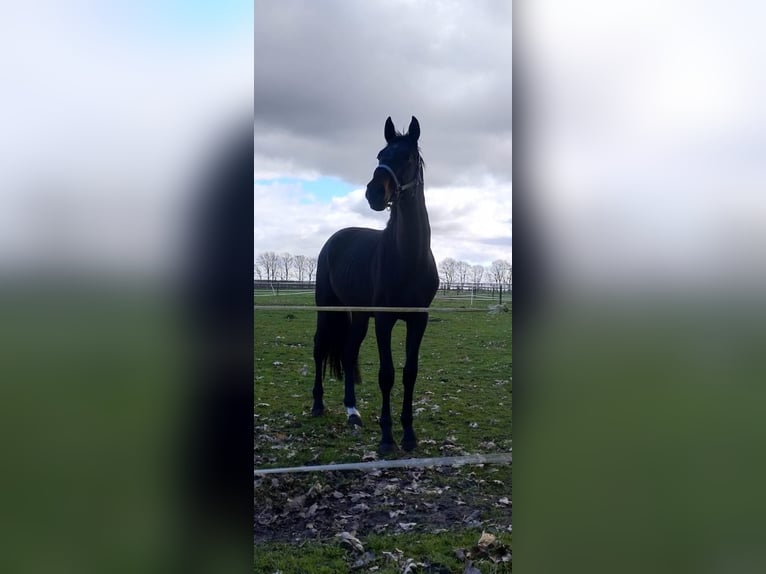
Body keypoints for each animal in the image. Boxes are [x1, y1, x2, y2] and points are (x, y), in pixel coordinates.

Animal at [311, 116, 440, 454]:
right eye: (380, 155)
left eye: (407, 157)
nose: (373, 194)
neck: (408, 257)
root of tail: (335, 239)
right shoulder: (384, 319)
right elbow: (387, 375)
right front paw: (386, 439)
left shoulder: (418, 320)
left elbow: (409, 373)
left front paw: (408, 435)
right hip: (327, 308)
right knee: (319, 348)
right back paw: (317, 405)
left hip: (357, 316)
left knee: (347, 351)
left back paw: (352, 412)